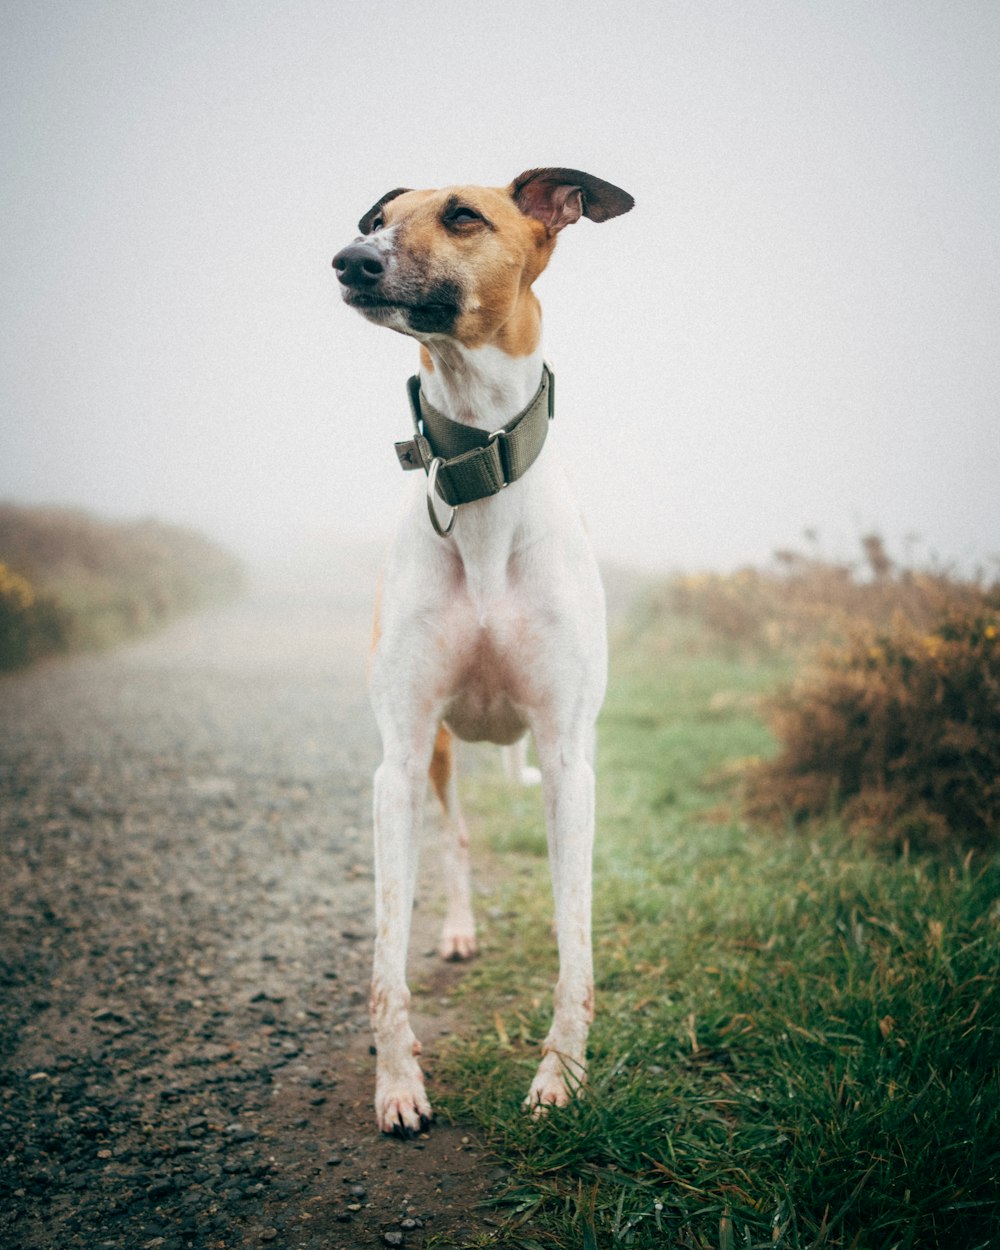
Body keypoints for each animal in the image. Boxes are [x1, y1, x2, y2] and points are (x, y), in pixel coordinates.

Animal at [335, 166, 632, 1135]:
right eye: (377, 218)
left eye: (464, 215)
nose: (349, 259)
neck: (480, 478)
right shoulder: (396, 758)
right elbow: (385, 958)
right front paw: (398, 1085)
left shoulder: (570, 757)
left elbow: (575, 941)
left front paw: (560, 1077)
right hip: (435, 750)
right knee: (458, 839)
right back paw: (459, 928)